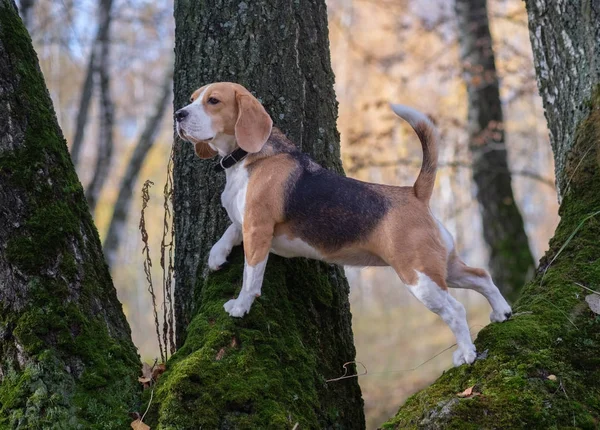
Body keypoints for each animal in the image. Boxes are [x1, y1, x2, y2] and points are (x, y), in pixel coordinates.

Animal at [176, 81, 512, 366]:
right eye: (192, 98)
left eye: (213, 101)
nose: (179, 114)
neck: (250, 156)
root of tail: (415, 193)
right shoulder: (246, 221)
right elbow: (230, 229)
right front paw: (216, 256)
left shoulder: (257, 228)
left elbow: (250, 275)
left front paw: (241, 305)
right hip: (443, 268)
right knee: (481, 276)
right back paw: (502, 312)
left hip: (419, 277)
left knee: (455, 309)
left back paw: (466, 353)